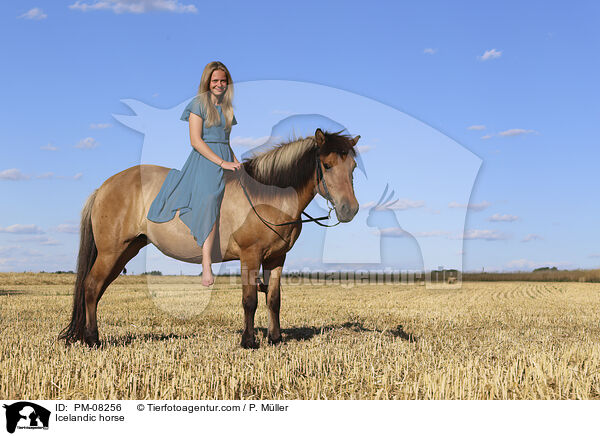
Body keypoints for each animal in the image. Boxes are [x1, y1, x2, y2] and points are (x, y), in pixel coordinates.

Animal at [59, 127, 360, 350]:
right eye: (327, 165)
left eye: (353, 167)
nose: (350, 209)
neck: (266, 197)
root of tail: (103, 187)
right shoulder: (250, 256)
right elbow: (250, 300)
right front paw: (249, 341)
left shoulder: (277, 258)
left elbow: (274, 299)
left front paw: (275, 339)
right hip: (111, 252)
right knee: (91, 287)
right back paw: (93, 340)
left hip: (124, 252)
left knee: (96, 289)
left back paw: (87, 335)